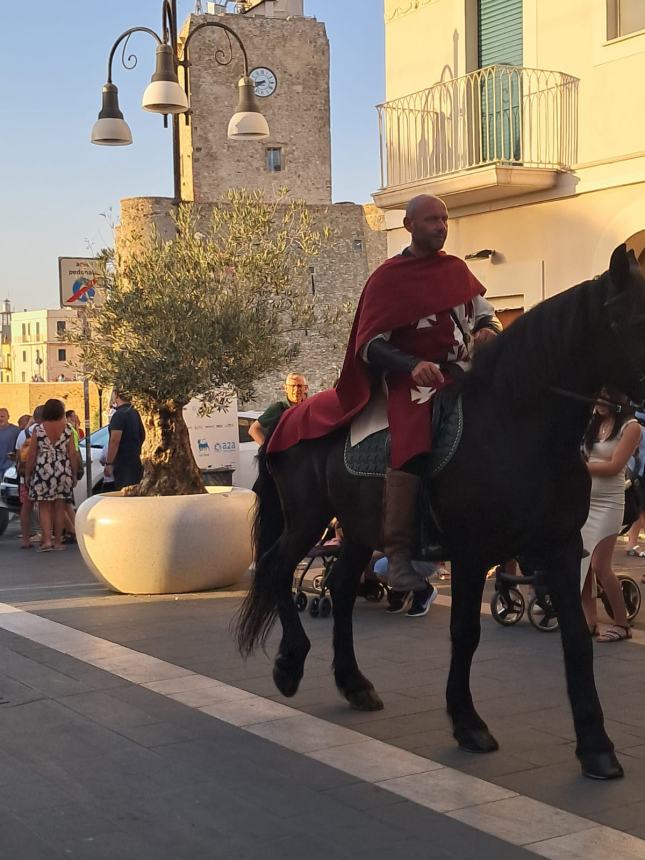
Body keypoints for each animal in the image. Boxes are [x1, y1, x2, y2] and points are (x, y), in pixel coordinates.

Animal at [235, 244, 644, 780]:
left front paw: (596, 745)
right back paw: (290, 663)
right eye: (630, 319)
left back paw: (353, 682)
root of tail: (285, 419)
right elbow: (465, 632)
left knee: (340, 589)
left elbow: (576, 638)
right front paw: (468, 723)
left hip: (358, 529)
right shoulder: (472, 551)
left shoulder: (560, 546)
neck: (517, 424)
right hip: (307, 520)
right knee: (277, 567)